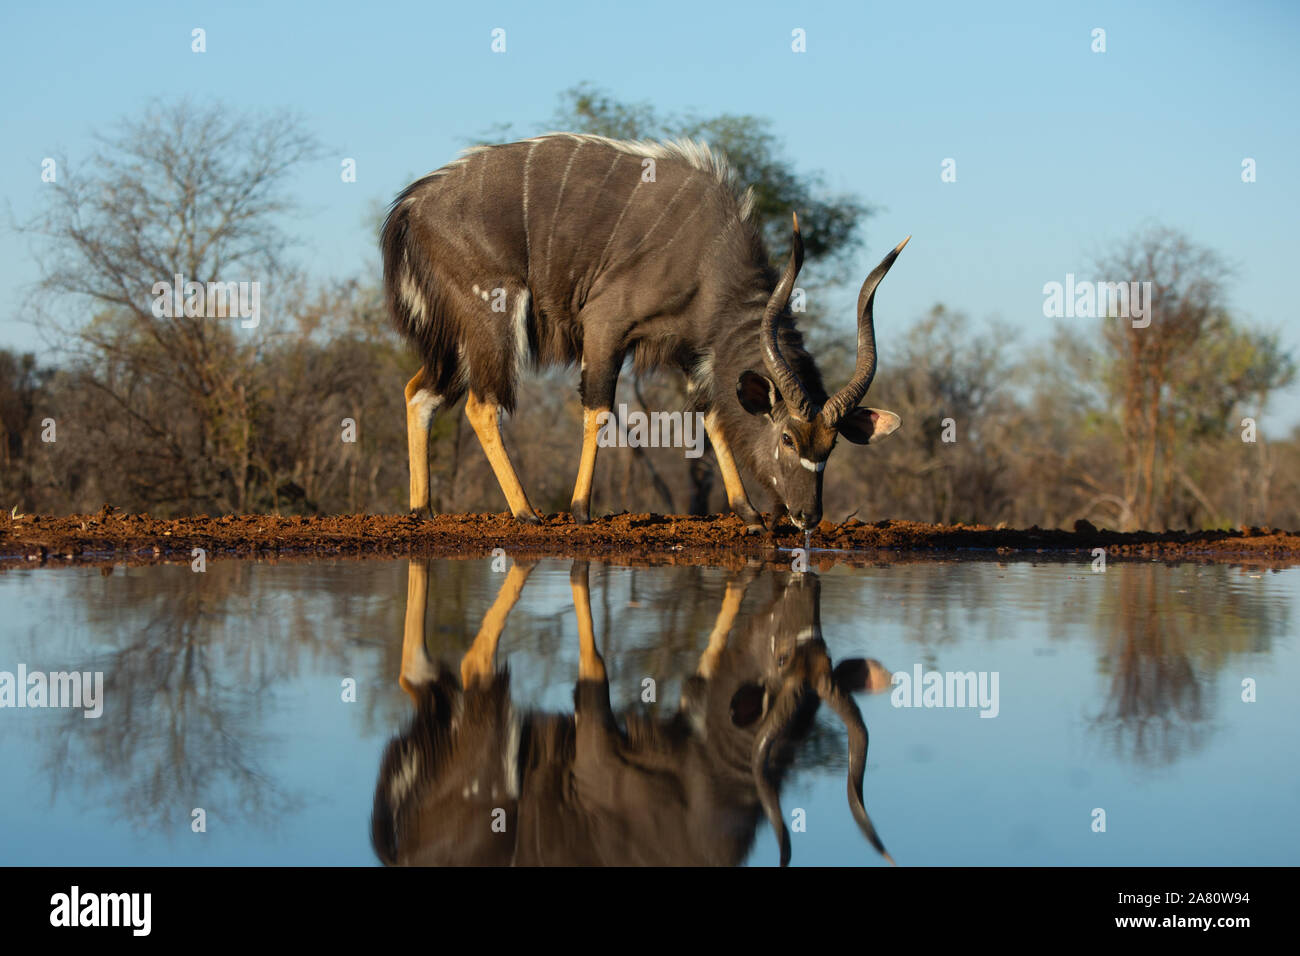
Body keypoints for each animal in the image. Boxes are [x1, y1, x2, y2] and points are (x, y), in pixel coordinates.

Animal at [366, 561, 894, 868]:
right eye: (782, 659)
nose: (804, 590)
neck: (706, 782)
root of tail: (399, 850)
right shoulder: (596, 753)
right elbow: (594, 671)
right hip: (493, 731)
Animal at [379, 132, 904, 530]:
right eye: (789, 440)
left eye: (831, 445)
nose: (806, 516)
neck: (711, 258)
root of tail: (410, 206)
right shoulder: (606, 324)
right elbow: (598, 407)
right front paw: (580, 510)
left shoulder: (693, 352)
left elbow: (712, 416)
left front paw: (748, 513)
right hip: (493, 315)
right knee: (481, 405)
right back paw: (527, 512)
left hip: (454, 338)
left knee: (418, 392)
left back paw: (422, 509)